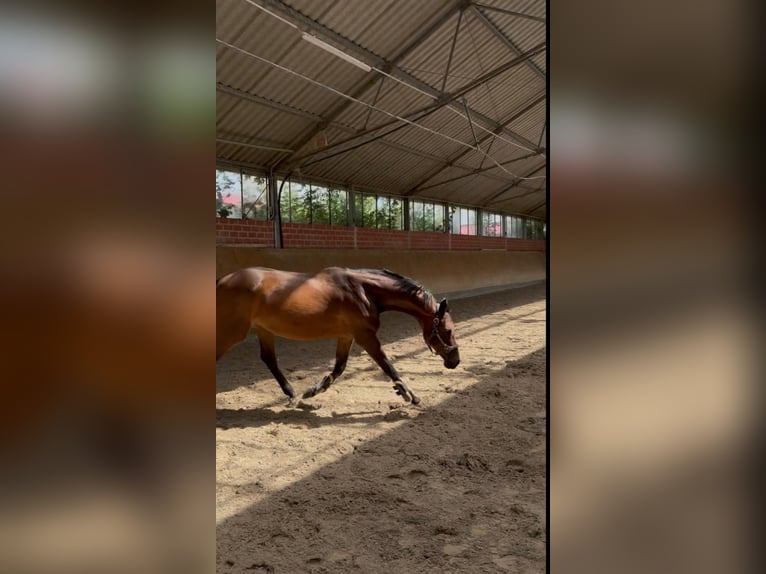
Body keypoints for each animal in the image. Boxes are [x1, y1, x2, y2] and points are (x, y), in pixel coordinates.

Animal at [216, 267, 460, 405]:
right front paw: (410, 395)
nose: (455, 361)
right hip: (232, 332)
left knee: (269, 359)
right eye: (447, 331)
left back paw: (292, 394)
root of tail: (222, 281)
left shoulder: (347, 336)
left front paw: (314, 390)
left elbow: (339, 367)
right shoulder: (365, 336)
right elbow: (387, 364)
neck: (363, 291)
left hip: (264, 330)